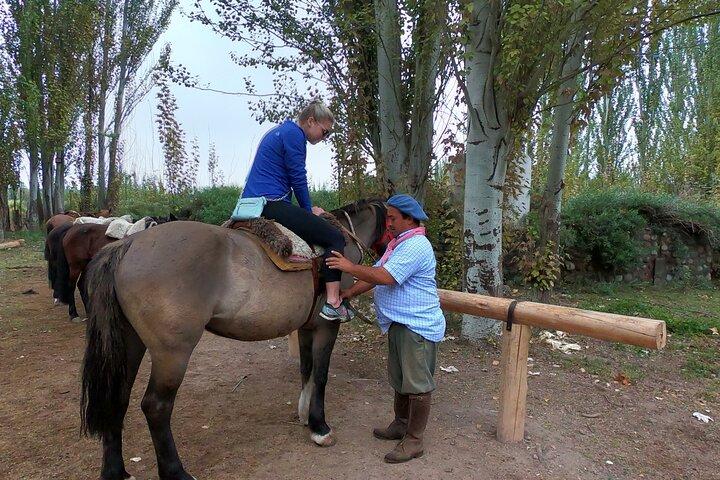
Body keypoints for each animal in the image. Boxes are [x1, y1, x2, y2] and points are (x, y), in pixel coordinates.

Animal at [80, 200, 388, 480]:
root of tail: (128, 245)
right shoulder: (326, 326)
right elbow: (321, 375)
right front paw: (319, 427)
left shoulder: (306, 327)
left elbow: (306, 371)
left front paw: (304, 416)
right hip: (172, 354)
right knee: (156, 407)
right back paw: (175, 472)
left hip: (129, 343)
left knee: (117, 398)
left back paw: (115, 472)